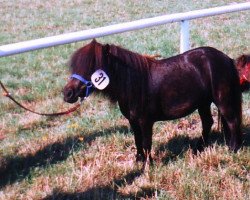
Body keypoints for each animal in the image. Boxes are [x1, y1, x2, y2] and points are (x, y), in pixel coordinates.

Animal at [62, 39, 242, 162]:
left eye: (92, 67)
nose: (67, 93)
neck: (134, 83)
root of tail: (227, 59)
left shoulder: (145, 121)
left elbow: (146, 142)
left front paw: (148, 165)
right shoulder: (133, 121)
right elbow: (137, 140)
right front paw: (138, 160)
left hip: (222, 100)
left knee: (232, 122)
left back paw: (233, 149)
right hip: (203, 102)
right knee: (208, 123)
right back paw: (198, 149)